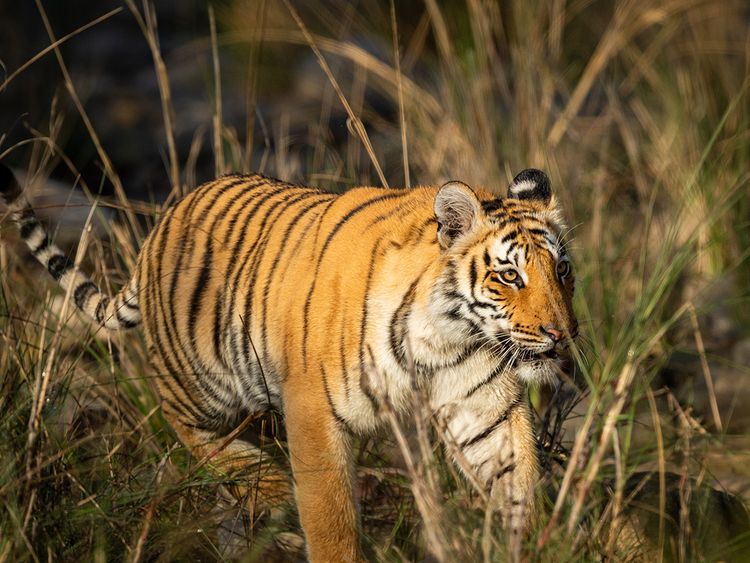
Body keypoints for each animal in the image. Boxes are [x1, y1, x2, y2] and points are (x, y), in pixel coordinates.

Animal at [0, 162, 580, 560]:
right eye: (509, 276)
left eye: (563, 270)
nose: (561, 334)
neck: (447, 339)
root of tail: (161, 224)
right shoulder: (314, 413)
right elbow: (331, 518)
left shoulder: (484, 408)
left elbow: (516, 478)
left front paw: (526, 540)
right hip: (199, 383)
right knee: (194, 433)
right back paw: (270, 486)